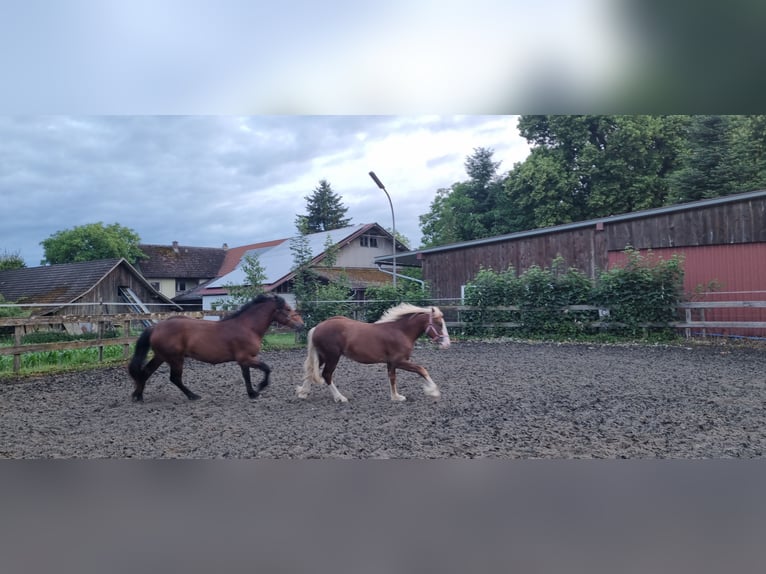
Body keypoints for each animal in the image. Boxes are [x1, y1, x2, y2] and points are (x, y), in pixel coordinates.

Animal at [128, 293, 303, 402]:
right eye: (288, 309)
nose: (301, 324)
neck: (247, 327)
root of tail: (156, 327)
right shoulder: (246, 358)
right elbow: (266, 368)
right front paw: (260, 387)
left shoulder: (244, 360)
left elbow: (246, 376)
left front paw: (252, 393)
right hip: (175, 359)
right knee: (174, 378)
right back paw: (193, 396)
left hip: (161, 357)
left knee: (146, 372)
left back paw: (138, 396)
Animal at [297, 303, 451, 403]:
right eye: (439, 324)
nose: (447, 344)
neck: (401, 331)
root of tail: (317, 327)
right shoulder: (399, 361)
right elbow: (422, 370)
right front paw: (434, 392)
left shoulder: (391, 363)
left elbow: (392, 378)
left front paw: (396, 397)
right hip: (332, 357)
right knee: (326, 375)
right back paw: (340, 398)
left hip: (322, 356)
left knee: (311, 371)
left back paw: (303, 393)